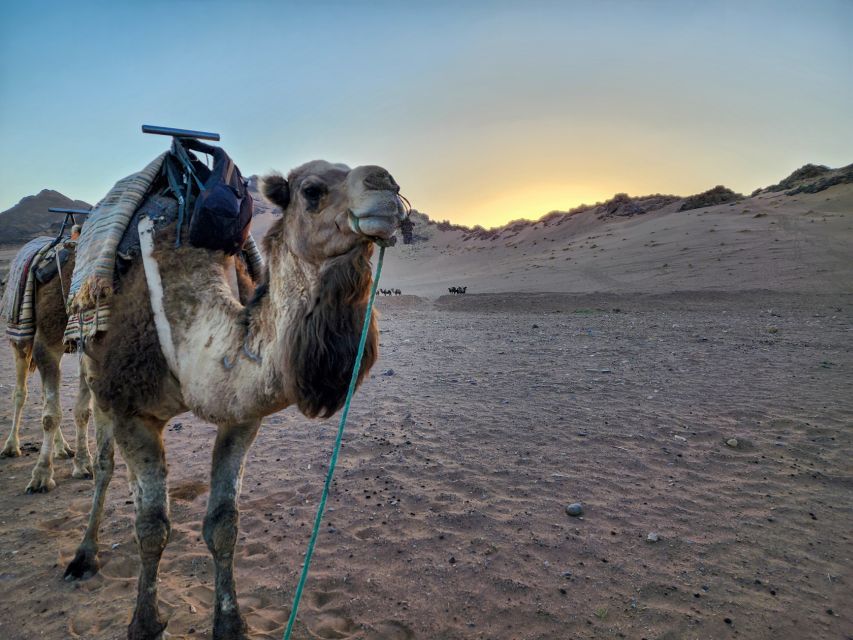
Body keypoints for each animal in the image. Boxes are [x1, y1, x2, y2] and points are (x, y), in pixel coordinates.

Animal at [65, 160, 404, 640]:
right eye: (312, 191)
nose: (386, 186)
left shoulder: (242, 418)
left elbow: (224, 523)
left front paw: (230, 622)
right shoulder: (132, 412)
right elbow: (151, 527)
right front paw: (145, 623)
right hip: (93, 373)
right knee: (103, 464)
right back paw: (83, 555)